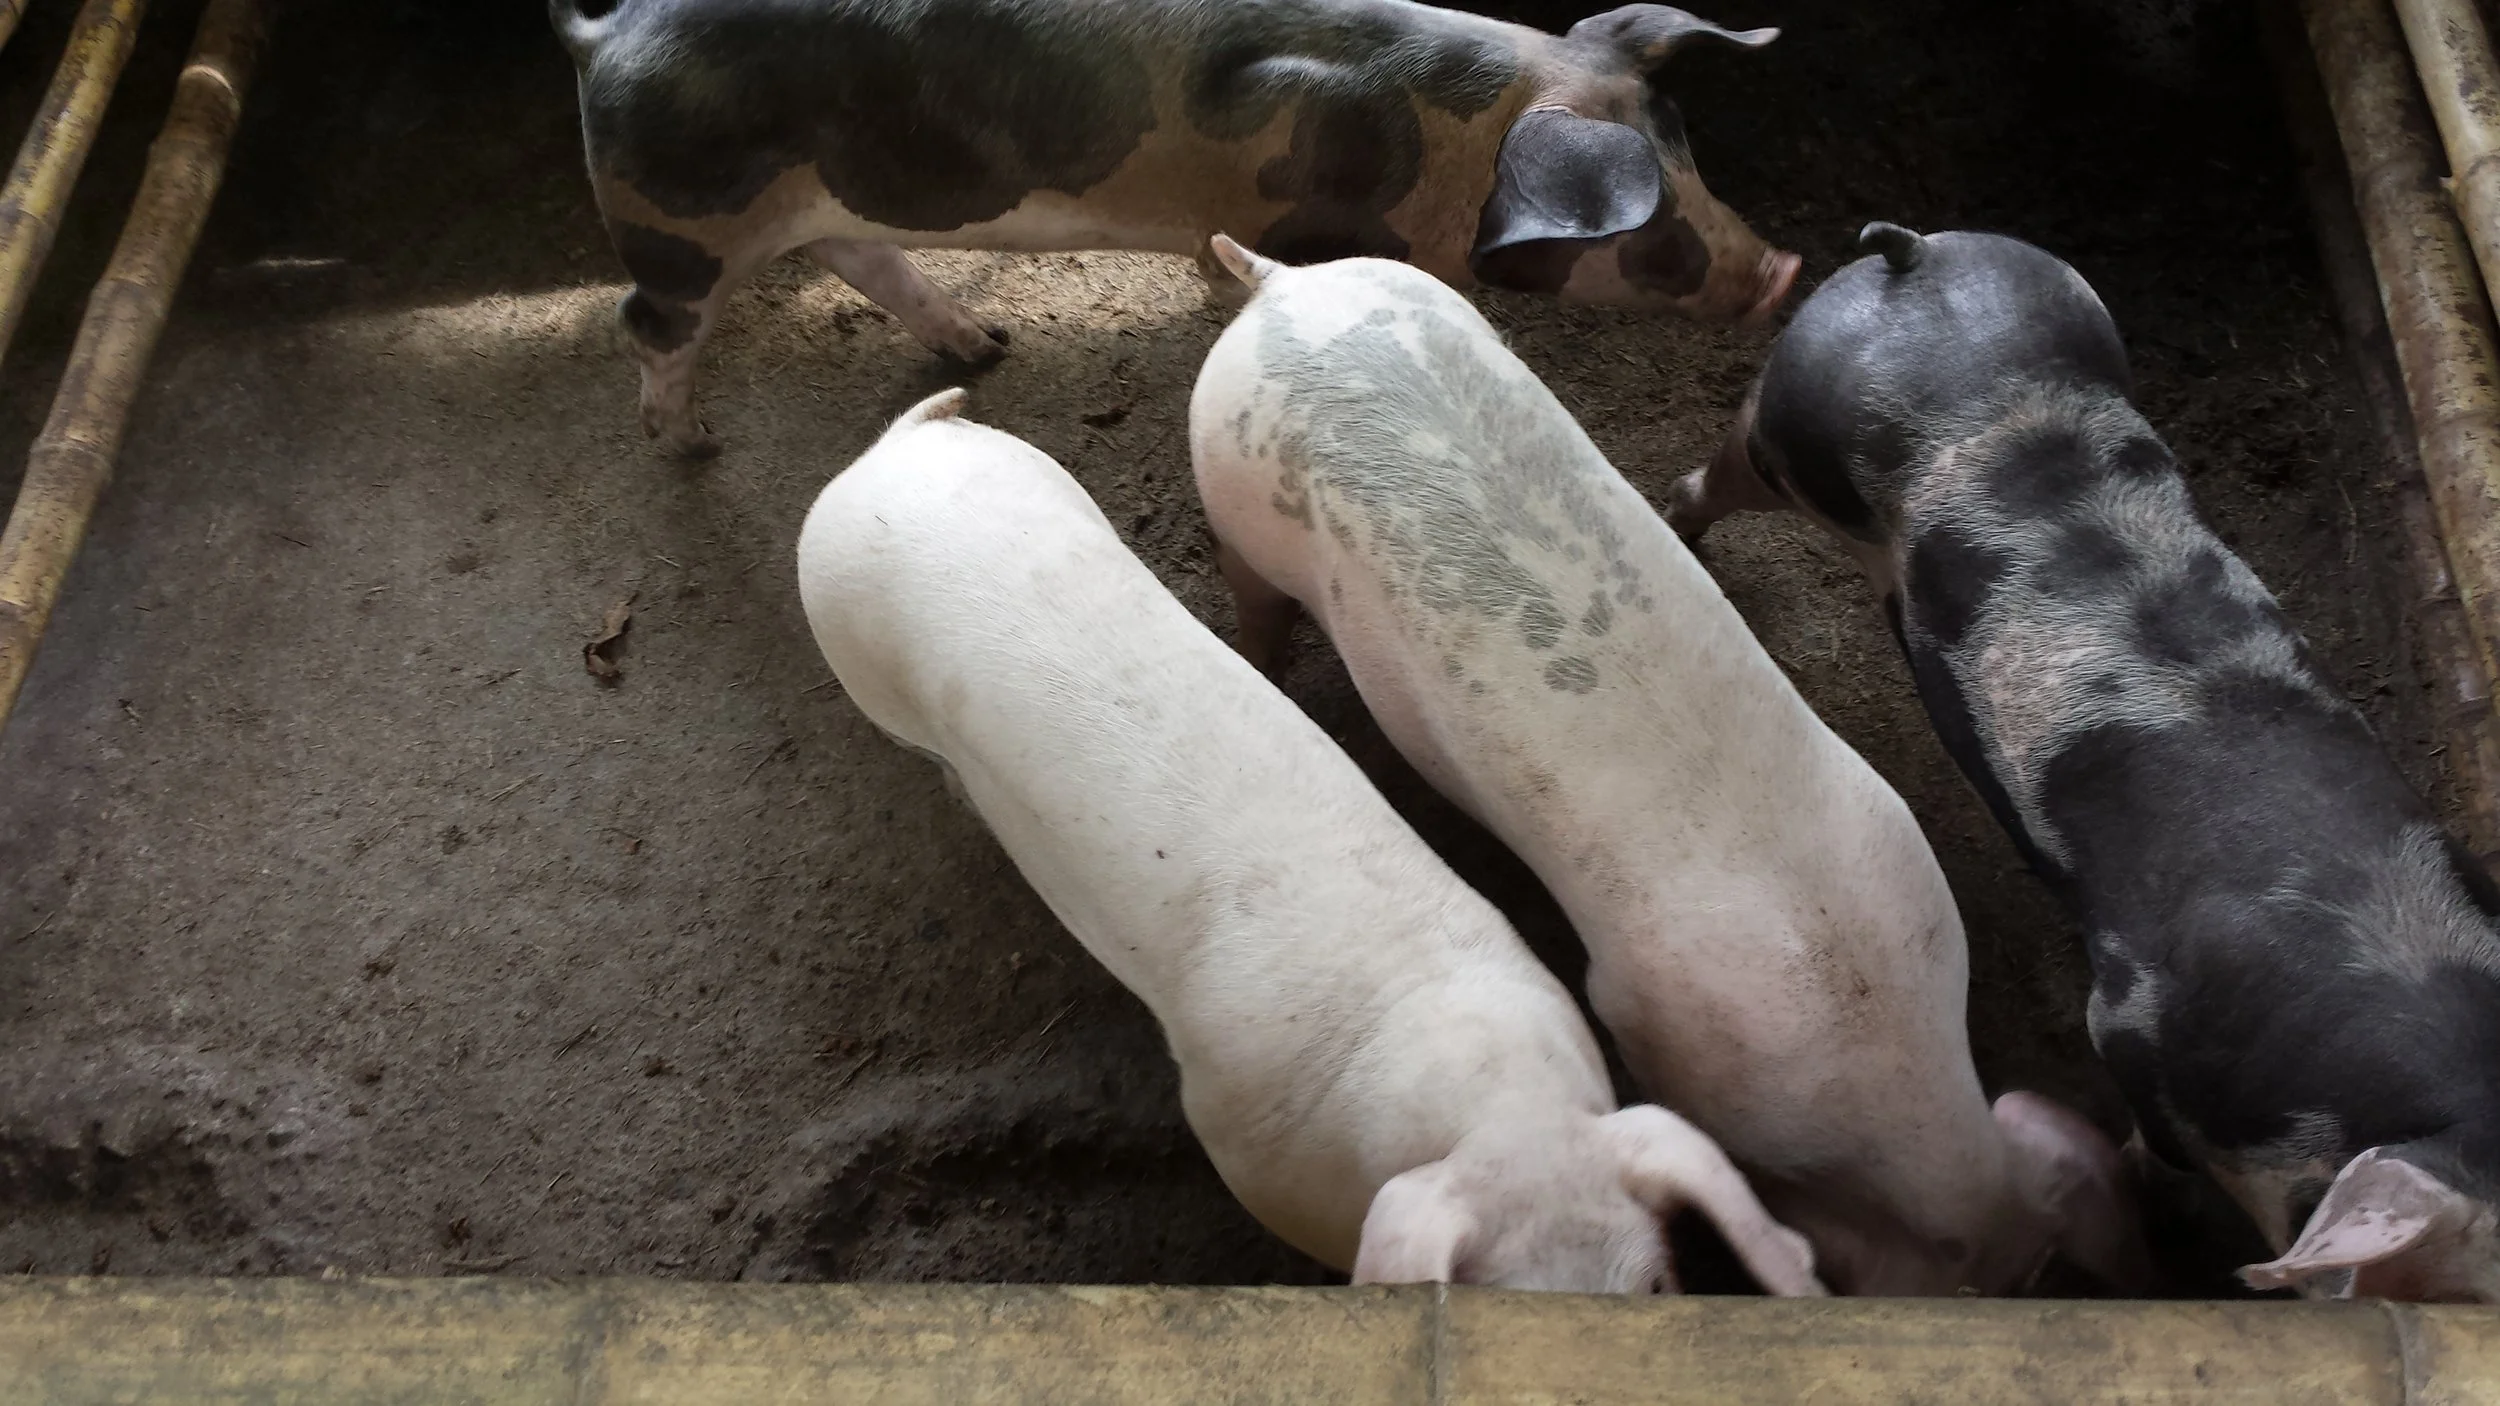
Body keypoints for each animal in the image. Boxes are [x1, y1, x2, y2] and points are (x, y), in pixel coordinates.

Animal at [552, 0, 1801, 457]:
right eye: (1651, 232)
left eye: (1686, 143)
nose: (1784, 270)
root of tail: (602, 35)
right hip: (675, 229)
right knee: (646, 324)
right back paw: (688, 443)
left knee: (859, 255)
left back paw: (984, 349)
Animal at [796, 386, 1823, 1294]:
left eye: (1654, 1284)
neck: (1493, 1114)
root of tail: (891, 452)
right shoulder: (1235, 1138)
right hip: (849, 644)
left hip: (1039, 474)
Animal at [1669, 221, 2500, 1301]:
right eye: (2443, 1287)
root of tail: (1915, 260)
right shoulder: (2129, 1024)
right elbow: (2152, 1138)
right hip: (1794, 418)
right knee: (1731, 460)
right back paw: (1677, 519)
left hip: (2074, 309)